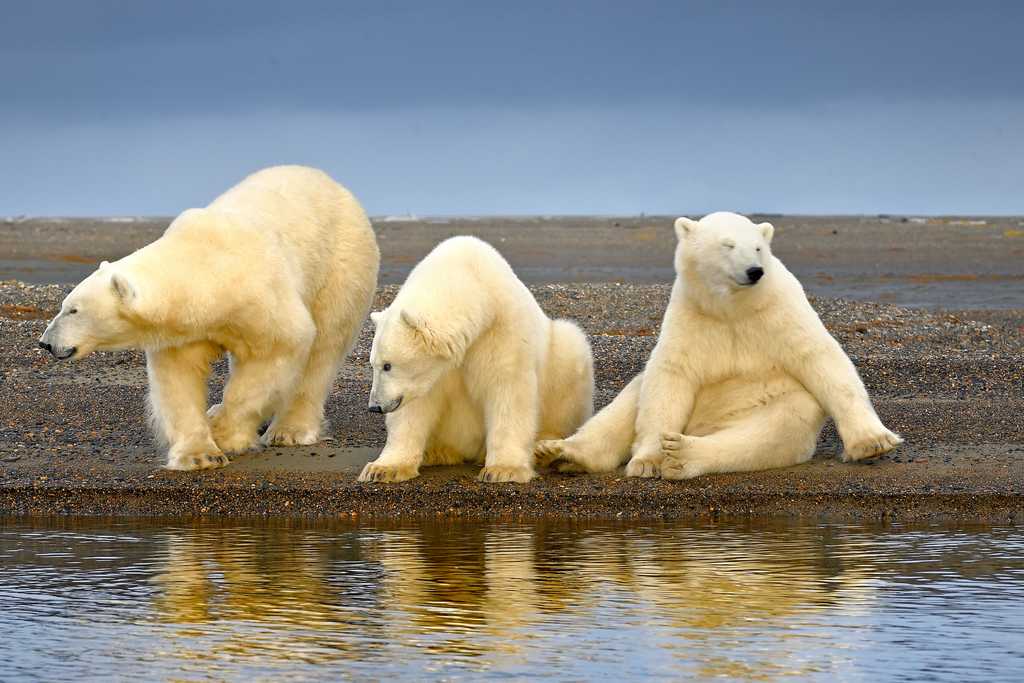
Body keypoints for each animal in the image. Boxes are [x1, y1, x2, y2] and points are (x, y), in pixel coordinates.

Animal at [36, 167, 382, 473]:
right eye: (65, 305)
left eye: (73, 309)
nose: (45, 342)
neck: (208, 266)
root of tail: (336, 185)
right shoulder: (185, 327)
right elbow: (178, 378)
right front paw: (199, 454)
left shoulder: (261, 296)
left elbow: (276, 351)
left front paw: (226, 435)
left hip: (340, 267)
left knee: (324, 347)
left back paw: (289, 429)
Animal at [364, 237, 598, 483]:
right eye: (373, 364)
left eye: (387, 365)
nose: (375, 406)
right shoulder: (432, 372)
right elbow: (414, 406)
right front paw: (383, 469)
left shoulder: (502, 329)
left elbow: (508, 390)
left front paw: (504, 469)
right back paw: (436, 452)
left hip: (562, 357)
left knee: (570, 351)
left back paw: (542, 448)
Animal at [536, 210, 905, 479]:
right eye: (727, 246)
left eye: (757, 248)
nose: (755, 271)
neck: (732, 308)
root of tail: (705, 424)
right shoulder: (691, 315)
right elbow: (670, 375)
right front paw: (647, 461)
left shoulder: (779, 310)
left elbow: (819, 355)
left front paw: (872, 442)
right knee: (630, 398)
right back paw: (563, 453)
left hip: (771, 408)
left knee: (772, 428)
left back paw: (683, 454)